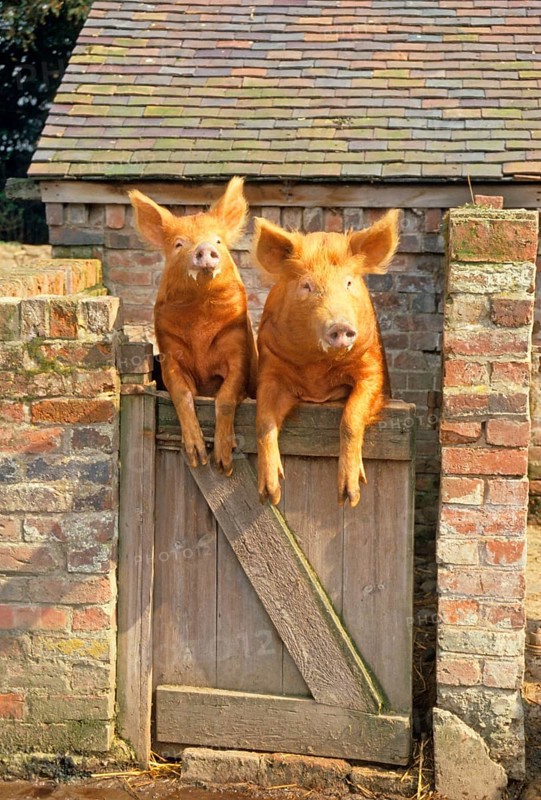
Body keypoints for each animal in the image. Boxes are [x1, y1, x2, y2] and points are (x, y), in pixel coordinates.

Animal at [129, 177, 257, 475]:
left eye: (218, 240)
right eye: (179, 244)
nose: (204, 248)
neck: (200, 316)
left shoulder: (239, 349)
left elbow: (225, 396)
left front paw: (223, 465)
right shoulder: (169, 352)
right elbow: (182, 393)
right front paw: (198, 458)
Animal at [252, 210, 399, 507]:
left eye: (349, 283)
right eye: (306, 286)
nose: (340, 326)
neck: (316, 371)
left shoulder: (372, 369)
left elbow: (351, 418)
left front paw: (349, 498)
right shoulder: (270, 368)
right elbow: (263, 421)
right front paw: (270, 495)